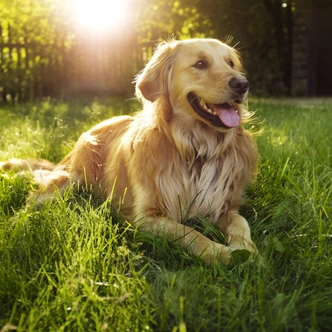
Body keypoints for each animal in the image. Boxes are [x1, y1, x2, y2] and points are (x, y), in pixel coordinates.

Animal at [0, 39, 260, 266]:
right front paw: (218, 253)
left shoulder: (224, 206)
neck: (196, 149)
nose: (243, 84)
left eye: (231, 63)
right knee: (31, 203)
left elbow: (240, 222)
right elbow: (188, 232)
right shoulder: (146, 217)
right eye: (200, 64)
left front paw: (246, 250)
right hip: (71, 181)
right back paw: (14, 228)